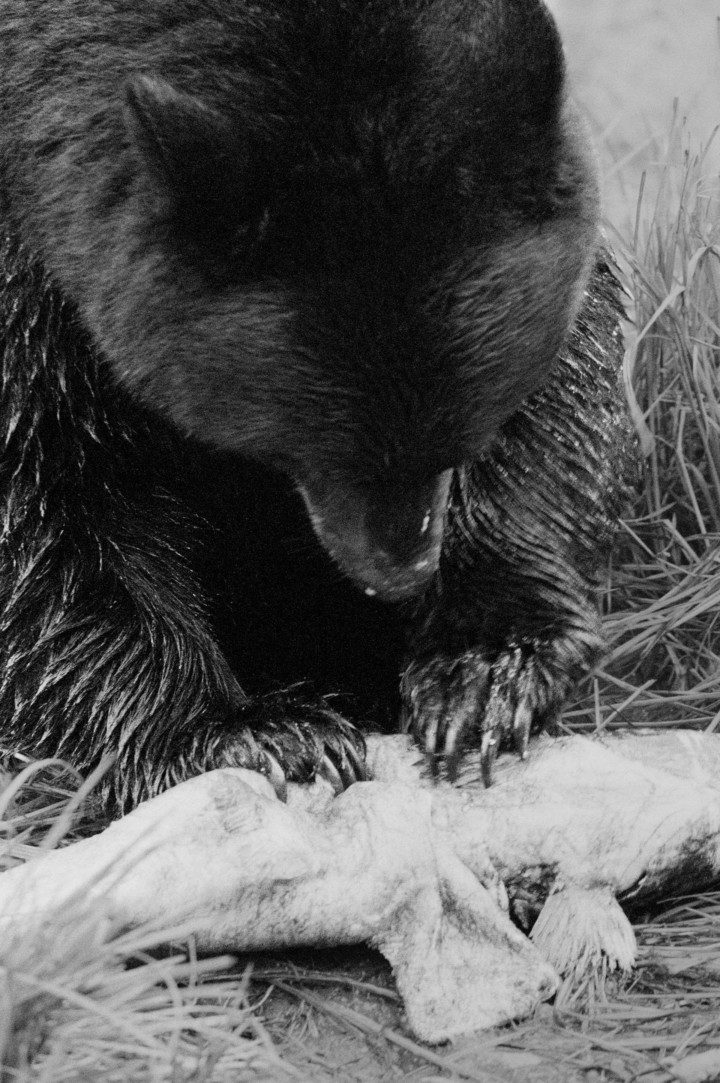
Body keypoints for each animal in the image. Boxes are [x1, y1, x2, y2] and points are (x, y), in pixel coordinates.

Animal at [0, 0, 633, 815]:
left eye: (464, 427)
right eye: (301, 442)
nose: (398, 574)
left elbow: (563, 387)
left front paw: (487, 669)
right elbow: (47, 496)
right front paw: (251, 731)